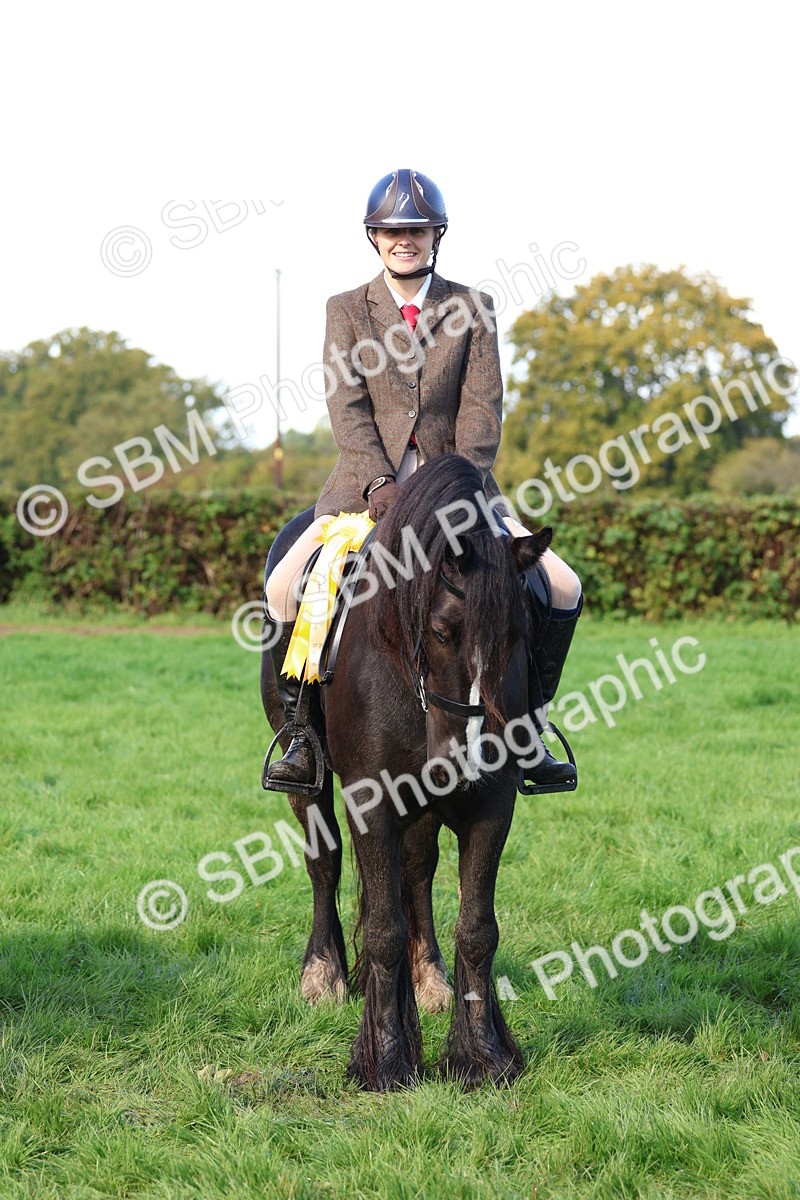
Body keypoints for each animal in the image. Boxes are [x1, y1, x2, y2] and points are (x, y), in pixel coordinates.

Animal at [260, 455, 552, 1091]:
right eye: (442, 631)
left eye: (522, 634)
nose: (468, 758)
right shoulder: (371, 801)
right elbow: (383, 928)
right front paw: (387, 1057)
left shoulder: (491, 807)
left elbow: (477, 927)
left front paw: (482, 1054)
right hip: (310, 779)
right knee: (325, 862)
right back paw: (324, 976)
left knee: (415, 872)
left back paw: (430, 981)